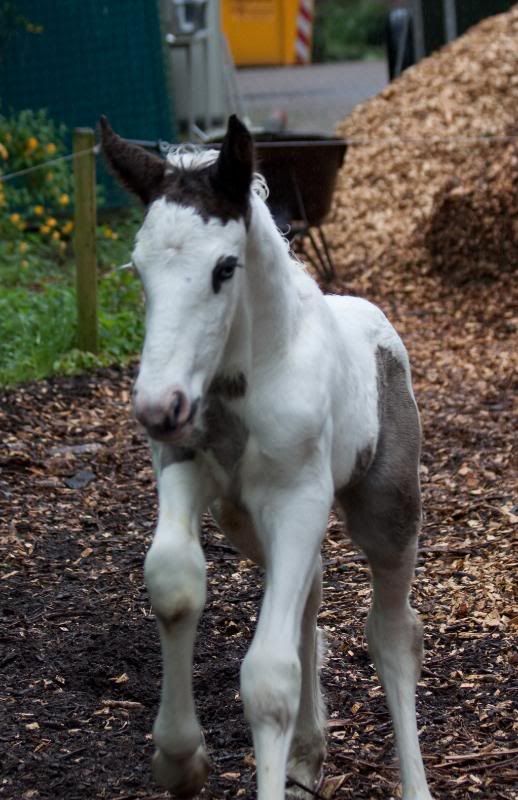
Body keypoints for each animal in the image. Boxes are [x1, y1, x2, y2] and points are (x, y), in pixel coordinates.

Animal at [100, 114, 433, 800]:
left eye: (225, 267)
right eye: (138, 270)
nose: (158, 405)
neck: (246, 379)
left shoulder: (299, 498)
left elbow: (269, 677)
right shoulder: (185, 468)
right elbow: (173, 579)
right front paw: (180, 757)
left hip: (385, 511)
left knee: (392, 634)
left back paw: (412, 784)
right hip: (245, 524)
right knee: (311, 590)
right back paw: (307, 756)